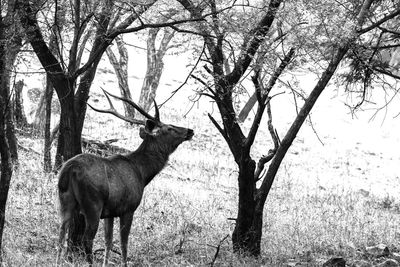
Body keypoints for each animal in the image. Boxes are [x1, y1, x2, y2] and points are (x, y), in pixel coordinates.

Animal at [55, 90, 194, 267]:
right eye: (169, 128)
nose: (190, 130)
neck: (142, 173)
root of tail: (69, 169)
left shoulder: (110, 212)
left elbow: (108, 242)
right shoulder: (128, 208)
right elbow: (123, 244)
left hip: (65, 200)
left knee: (61, 234)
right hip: (93, 203)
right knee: (87, 239)